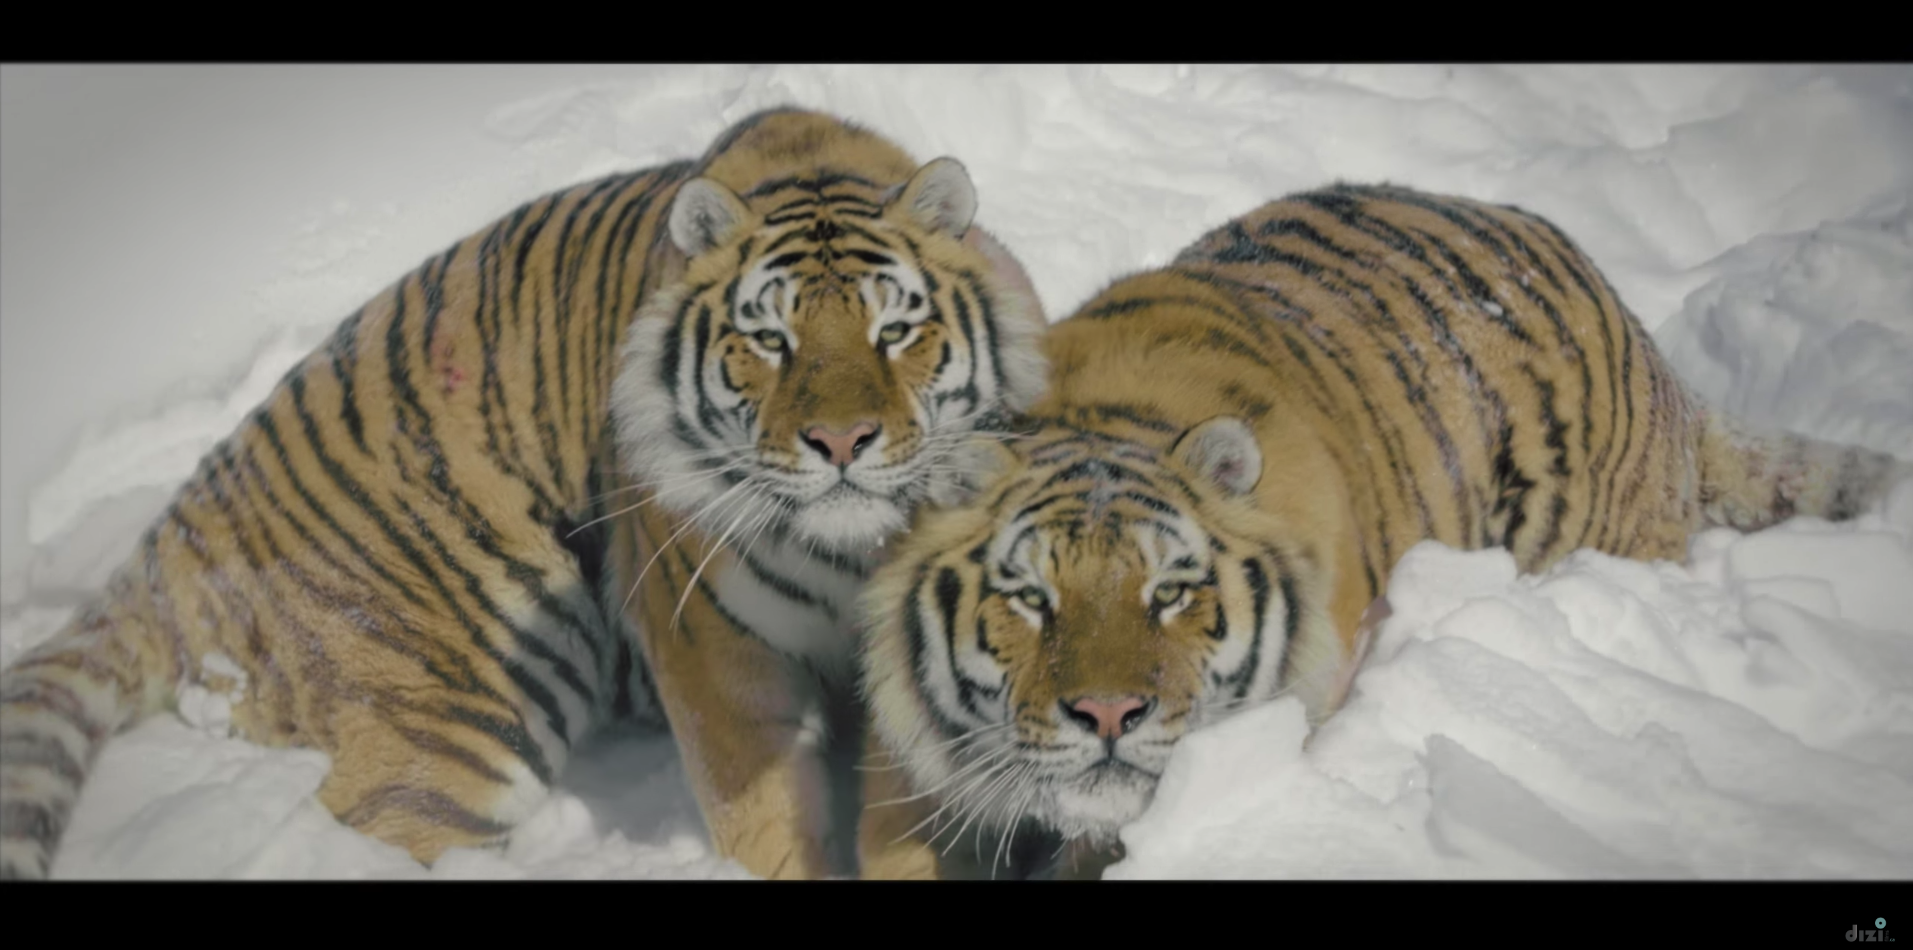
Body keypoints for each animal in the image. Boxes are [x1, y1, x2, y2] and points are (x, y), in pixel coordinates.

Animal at [0, 107, 1048, 879]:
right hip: (461, 703)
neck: (850, 549)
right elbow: (768, 824)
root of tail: (164, 551)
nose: (838, 442)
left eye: (893, 332)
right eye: (769, 340)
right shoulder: (711, 652)